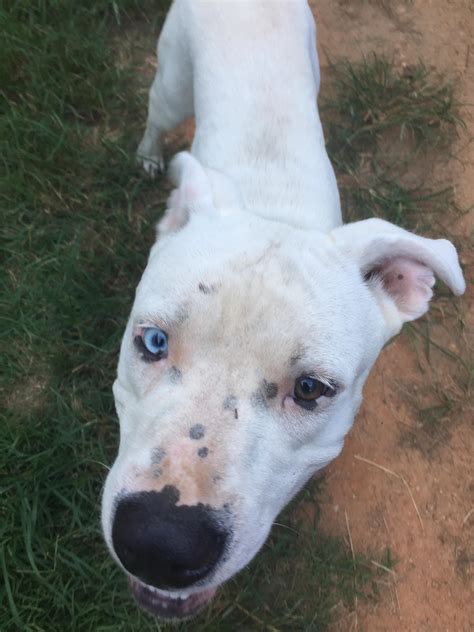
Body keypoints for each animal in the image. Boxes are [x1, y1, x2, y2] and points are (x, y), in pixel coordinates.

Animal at [101, 0, 466, 624]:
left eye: (313, 389)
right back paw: (149, 157)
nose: (159, 543)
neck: (273, 208)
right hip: (172, 82)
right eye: (151, 342)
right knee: (157, 118)